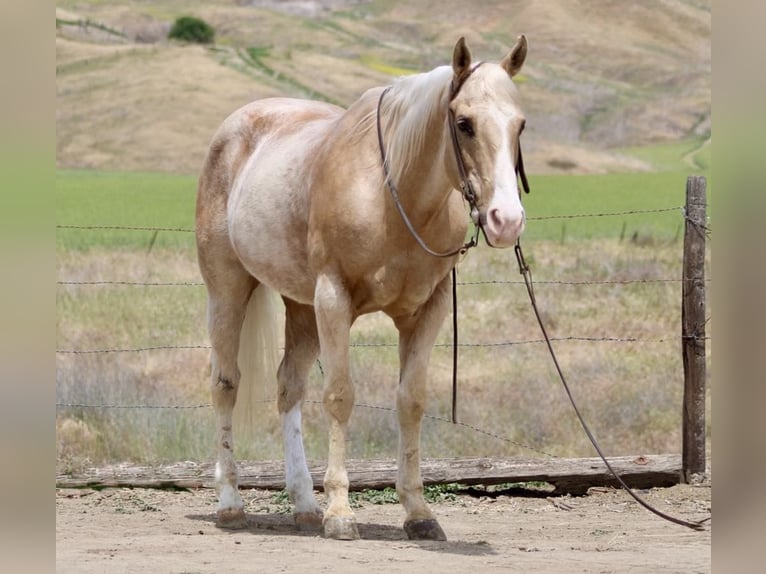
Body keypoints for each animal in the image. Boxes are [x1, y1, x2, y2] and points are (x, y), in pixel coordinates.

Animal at [195, 35, 529, 541]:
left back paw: (304, 504)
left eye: (520, 125)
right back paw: (231, 502)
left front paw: (418, 512)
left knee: (288, 388)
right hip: (229, 289)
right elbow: (340, 396)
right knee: (225, 384)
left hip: (300, 307)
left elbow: (410, 401)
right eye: (464, 123)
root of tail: (233, 129)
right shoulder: (334, 301)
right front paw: (340, 513)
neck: (392, 196)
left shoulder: (427, 311)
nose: (506, 220)